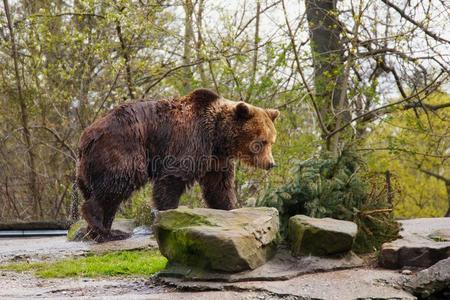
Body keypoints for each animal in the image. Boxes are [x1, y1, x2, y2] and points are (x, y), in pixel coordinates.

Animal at [76, 88, 280, 241]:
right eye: (260, 142)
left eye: (271, 141)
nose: (271, 163)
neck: (218, 137)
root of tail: (87, 137)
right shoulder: (190, 141)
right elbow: (172, 179)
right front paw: (169, 217)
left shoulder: (216, 159)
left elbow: (219, 186)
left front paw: (229, 209)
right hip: (124, 148)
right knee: (119, 181)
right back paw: (101, 227)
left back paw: (105, 230)